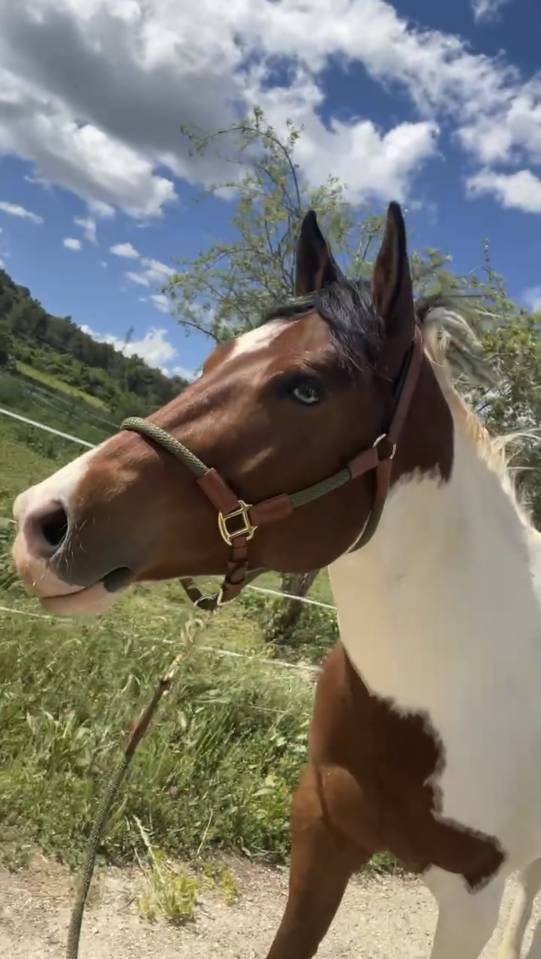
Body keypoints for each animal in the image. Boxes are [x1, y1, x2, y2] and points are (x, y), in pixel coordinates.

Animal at [11, 202, 541, 958]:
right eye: (212, 361)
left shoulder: (471, 896)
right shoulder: (321, 829)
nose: (41, 521)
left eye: (306, 389)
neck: (450, 684)